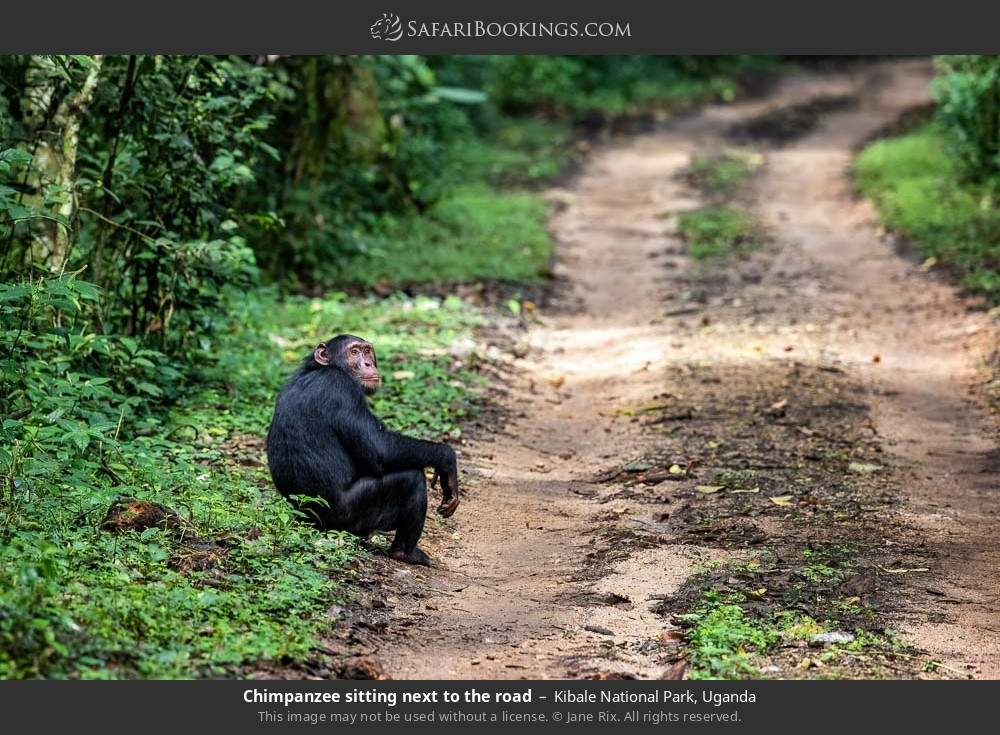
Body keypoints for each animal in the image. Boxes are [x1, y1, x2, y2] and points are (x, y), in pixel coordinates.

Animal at [262, 336, 458, 568]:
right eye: (354, 352)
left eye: (367, 351)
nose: (368, 363)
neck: (324, 369)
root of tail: (308, 521)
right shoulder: (341, 389)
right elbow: (380, 449)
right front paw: (447, 460)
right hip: (351, 518)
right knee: (410, 478)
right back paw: (405, 553)